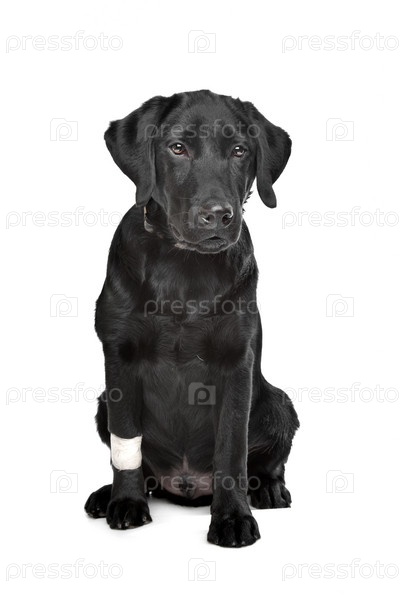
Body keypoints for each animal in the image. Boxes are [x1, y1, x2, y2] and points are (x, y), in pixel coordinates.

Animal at [84, 90, 299, 547]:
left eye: (240, 151)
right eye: (177, 148)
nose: (217, 215)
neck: (184, 267)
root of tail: (185, 485)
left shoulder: (236, 364)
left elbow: (232, 449)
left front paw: (233, 517)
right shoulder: (119, 356)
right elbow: (125, 445)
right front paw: (126, 503)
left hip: (278, 403)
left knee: (267, 461)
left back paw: (269, 489)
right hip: (101, 403)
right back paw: (107, 495)